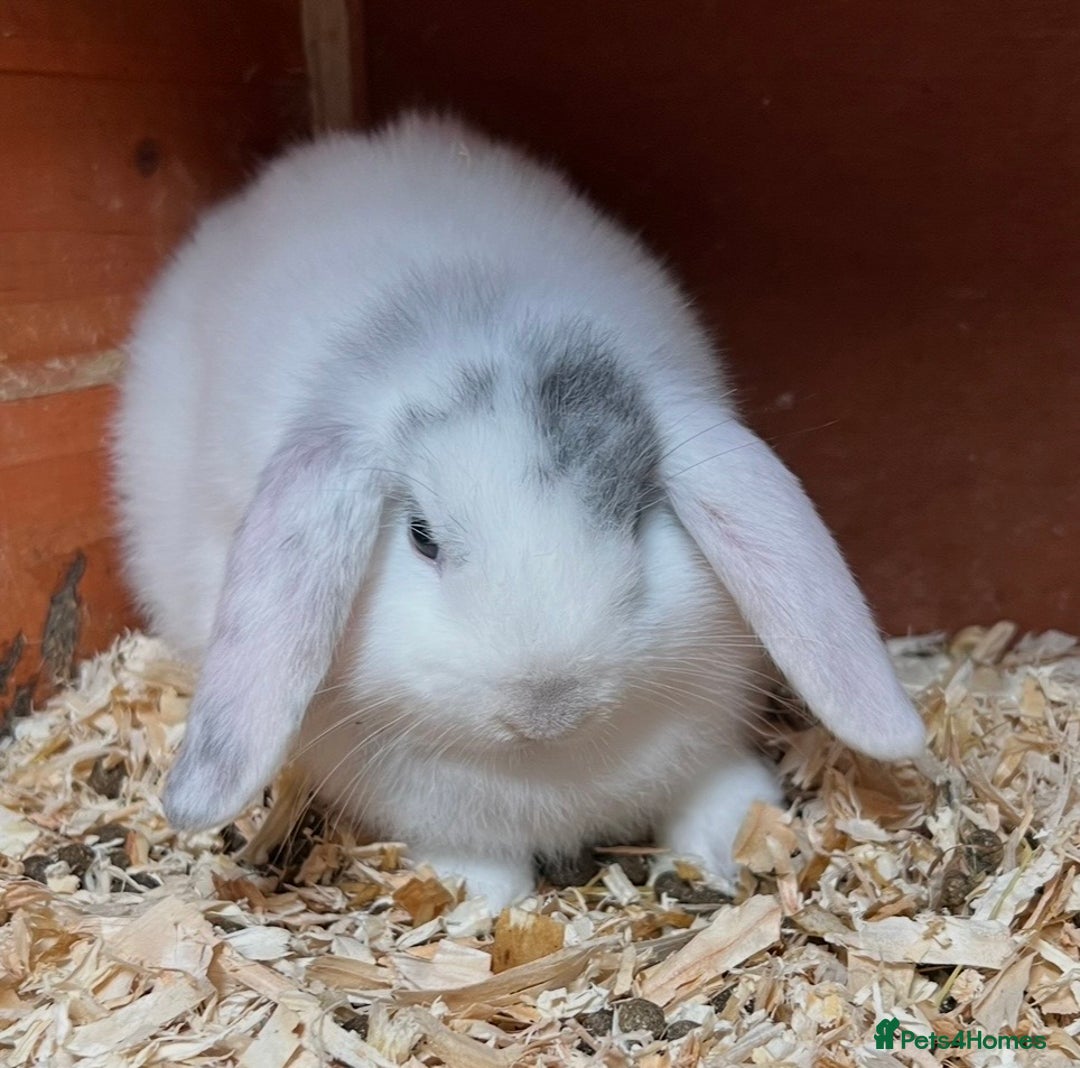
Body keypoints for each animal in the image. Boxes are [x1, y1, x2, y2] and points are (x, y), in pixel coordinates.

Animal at [113, 113, 926, 909]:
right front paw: (479, 899)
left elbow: (709, 790)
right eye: (422, 538)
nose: (549, 703)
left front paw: (728, 839)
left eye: (635, 515)